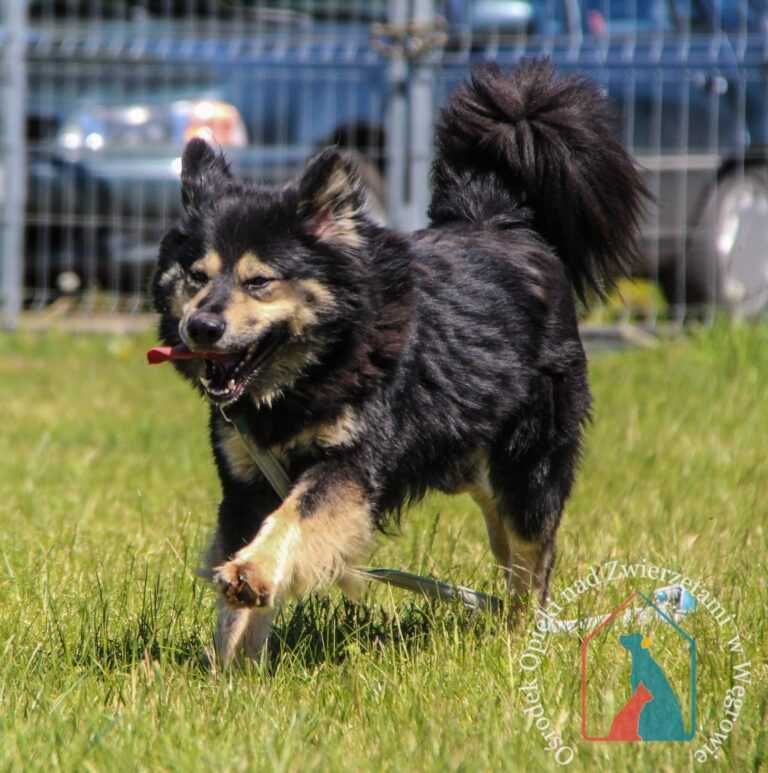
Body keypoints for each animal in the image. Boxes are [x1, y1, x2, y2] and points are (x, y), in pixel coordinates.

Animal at [152, 61, 648, 664]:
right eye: (196, 276)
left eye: (259, 282)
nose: (201, 327)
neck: (317, 369)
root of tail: (502, 221)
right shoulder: (246, 479)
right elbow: (242, 599)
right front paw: (233, 667)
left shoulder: (349, 465)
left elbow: (294, 518)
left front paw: (252, 574)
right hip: (466, 460)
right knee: (507, 546)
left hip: (529, 459)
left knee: (533, 556)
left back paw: (520, 641)